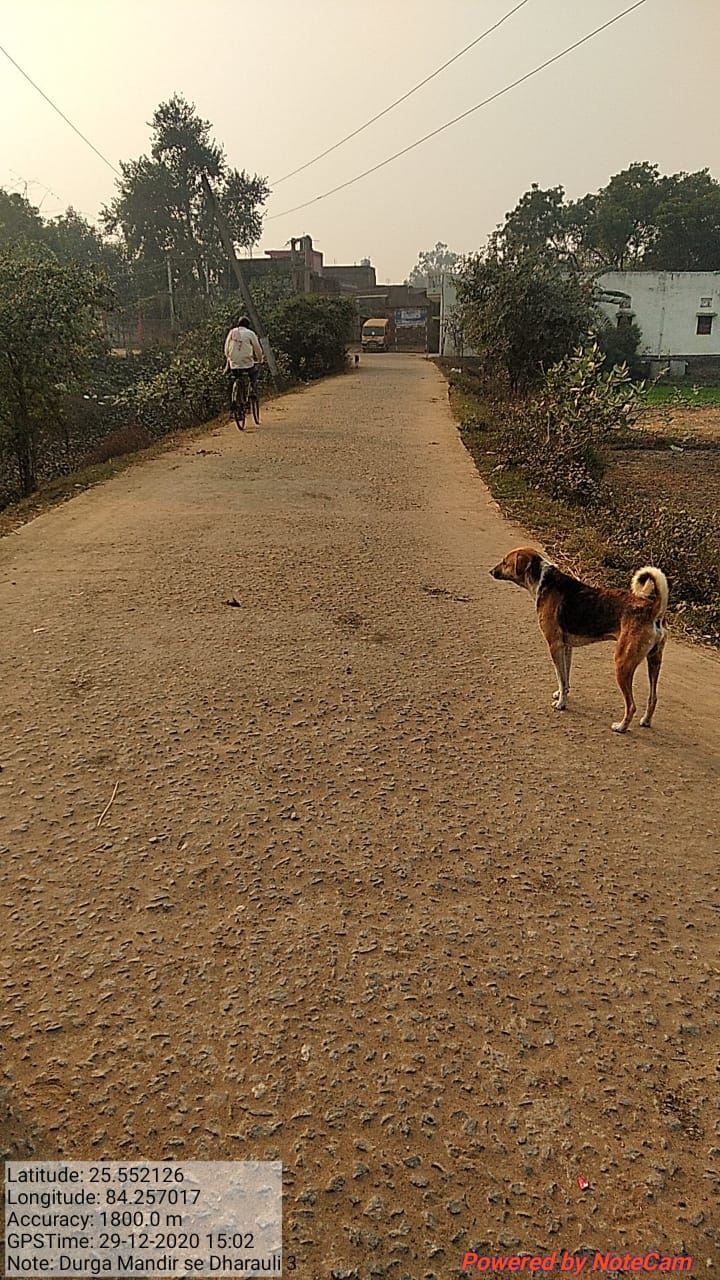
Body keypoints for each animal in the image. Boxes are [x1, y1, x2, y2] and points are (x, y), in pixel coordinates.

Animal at [489, 548, 669, 733]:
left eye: (505, 562)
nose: (491, 571)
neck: (543, 581)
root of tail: (652, 609)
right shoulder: (566, 647)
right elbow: (565, 677)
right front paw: (562, 695)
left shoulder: (554, 646)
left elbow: (561, 677)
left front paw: (561, 704)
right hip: (654, 662)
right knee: (653, 698)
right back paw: (645, 721)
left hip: (622, 664)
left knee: (631, 705)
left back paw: (621, 727)